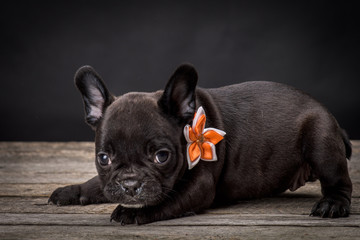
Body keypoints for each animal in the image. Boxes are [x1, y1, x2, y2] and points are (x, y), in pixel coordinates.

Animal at [47, 63, 352, 223]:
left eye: (161, 156)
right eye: (103, 158)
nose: (130, 185)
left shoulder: (199, 186)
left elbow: (167, 200)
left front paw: (132, 213)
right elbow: (97, 184)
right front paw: (72, 190)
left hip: (321, 141)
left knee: (339, 182)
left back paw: (331, 204)